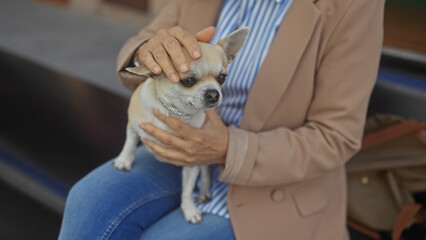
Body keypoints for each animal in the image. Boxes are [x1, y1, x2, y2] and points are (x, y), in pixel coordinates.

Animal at [113, 26, 250, 223]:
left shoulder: (191, 161)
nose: (214, 94)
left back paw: (204, 191)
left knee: (206, 169)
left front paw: (189, 209)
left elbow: (187, 189)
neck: (176, 113)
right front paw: (124, 160)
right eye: (188, 81)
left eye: (222, 78)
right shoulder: (133, 124)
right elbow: (130, 142)